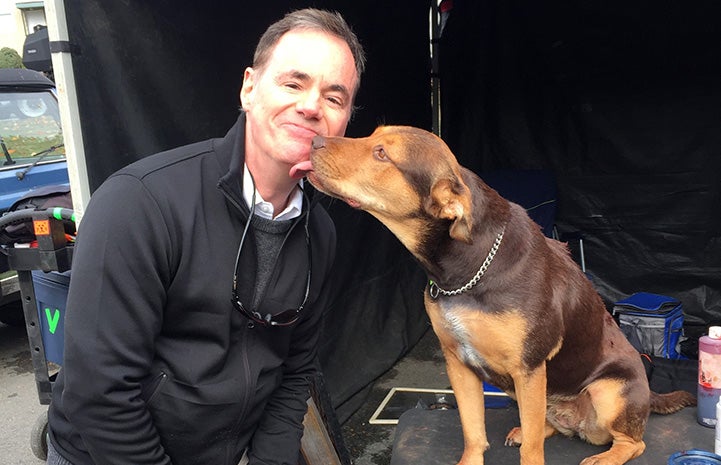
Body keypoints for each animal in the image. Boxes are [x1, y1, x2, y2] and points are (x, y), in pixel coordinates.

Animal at [306, 126, 696, 464]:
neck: (463, 271)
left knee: (632, 442)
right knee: (547, 425)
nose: (313, 141)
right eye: (372, 135)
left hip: (608, 392)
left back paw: (604, 458)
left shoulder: (529, 367)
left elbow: (532, 452)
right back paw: (531, 429)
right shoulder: (459, 363)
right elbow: (472, 430)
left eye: (382, 153)